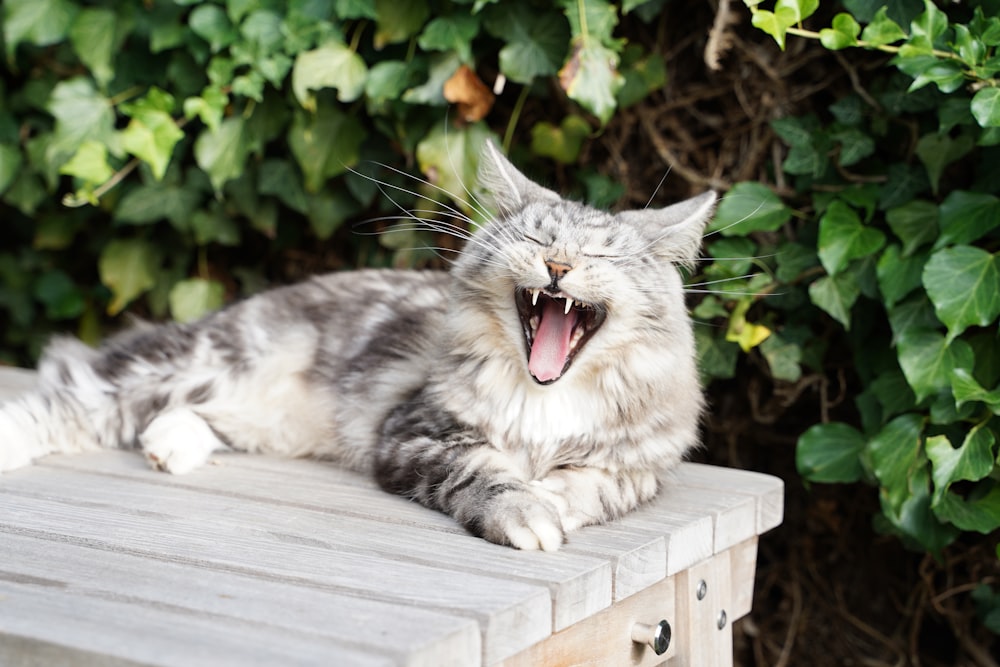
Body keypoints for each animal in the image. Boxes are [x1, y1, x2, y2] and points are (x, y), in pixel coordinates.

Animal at [1, 142, 720, 552]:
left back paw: (169, 445)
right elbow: (489, 473)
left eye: (600, 256)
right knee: (70, 401)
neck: (541, 394)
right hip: (197, 360)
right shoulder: (416, 430)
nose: (561, 267)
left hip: (261, 414)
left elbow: (585, 491)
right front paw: (524, 510)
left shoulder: (633, 469)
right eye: (538, 240)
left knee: (188, 418)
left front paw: (551, 503)